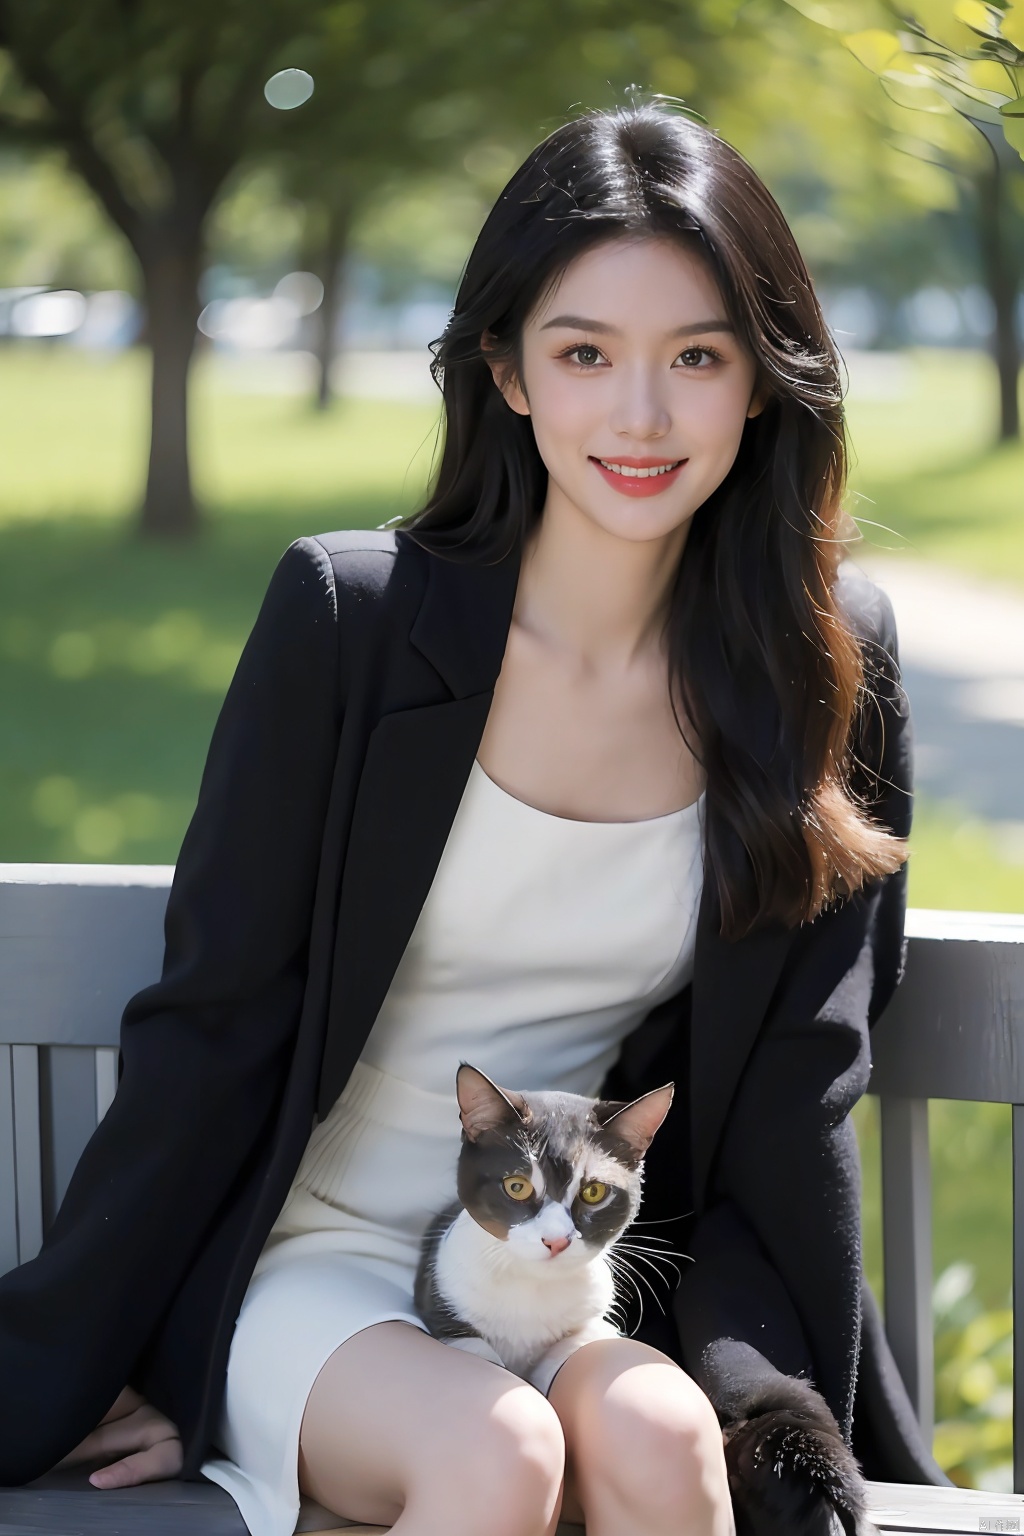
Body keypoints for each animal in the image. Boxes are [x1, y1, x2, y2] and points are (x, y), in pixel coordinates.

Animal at [411, 1056, 675, 1394]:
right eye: (517, 1186)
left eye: (594, 1192)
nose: (556, 1240)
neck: (532, 1285)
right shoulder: (444, 1301)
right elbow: (476, 1350)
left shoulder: (594, 1319)